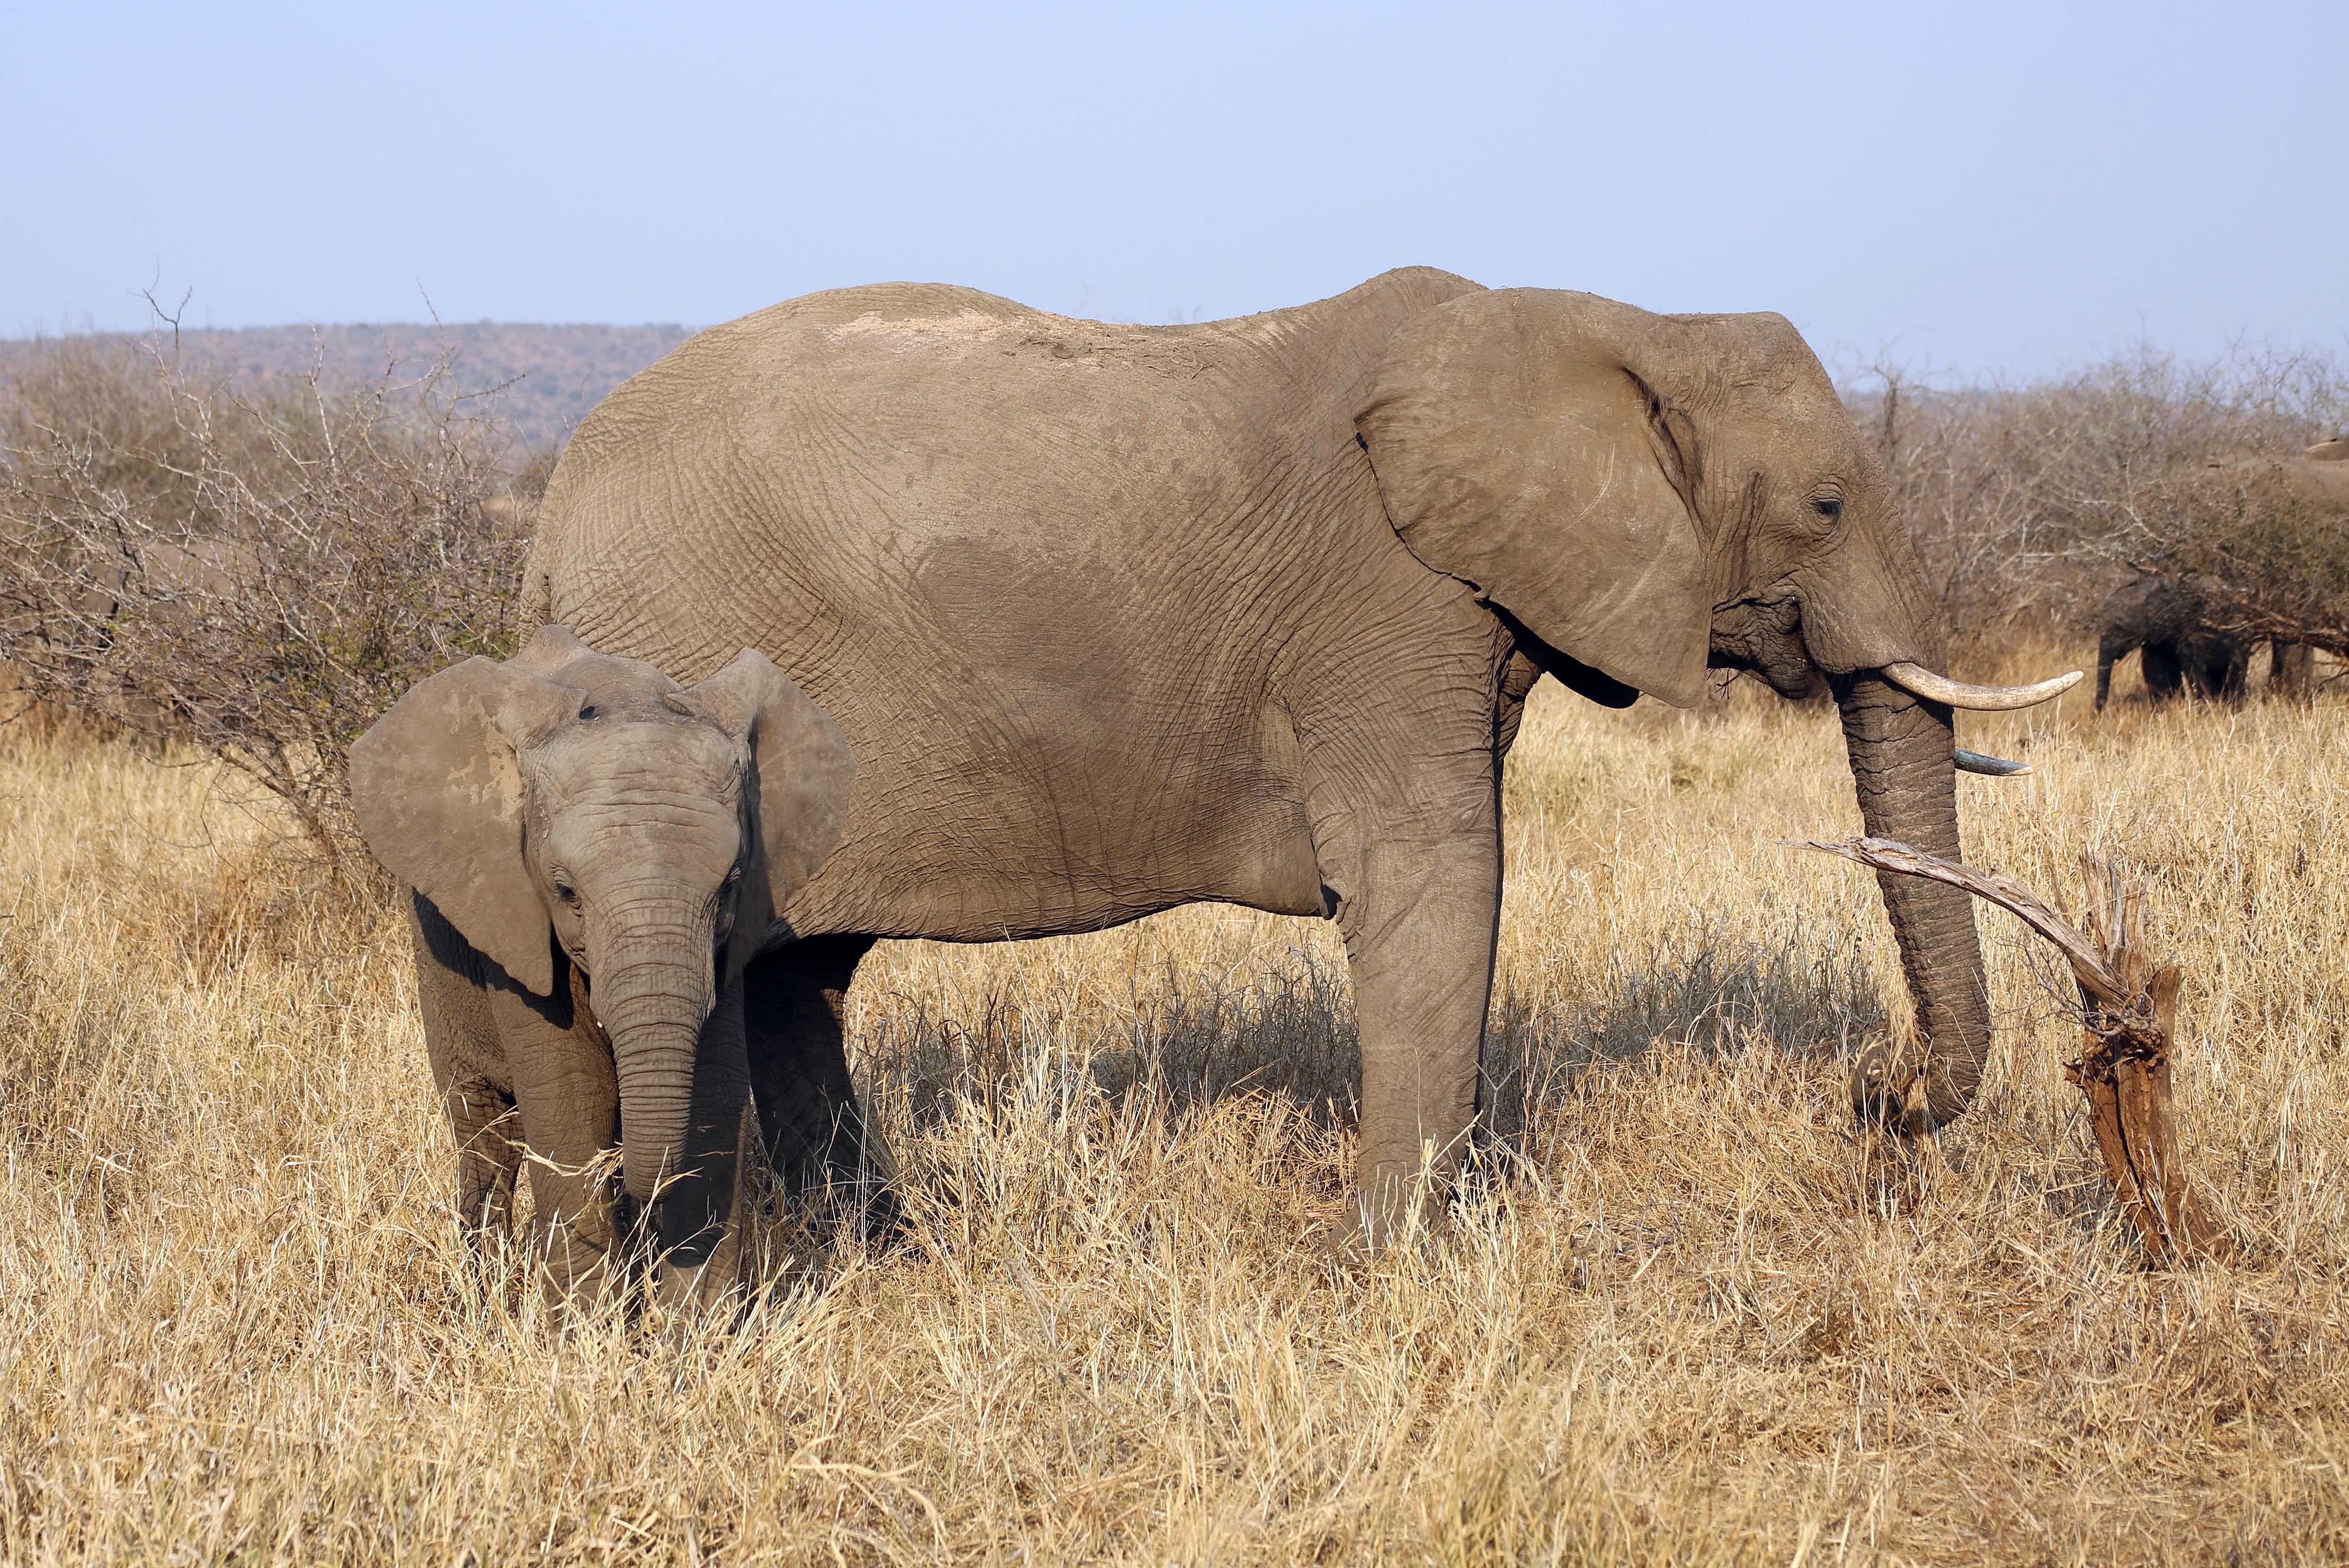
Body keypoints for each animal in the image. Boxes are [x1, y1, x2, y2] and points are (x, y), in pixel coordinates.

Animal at [347, 620, 864, 1297]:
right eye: (565, 891)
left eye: (730, 885)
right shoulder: (520, 930)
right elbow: (570, 1107)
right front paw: (587, 1322)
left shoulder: (727, 945)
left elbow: (713, 1102)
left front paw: (694, 1321)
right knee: (485, 1132)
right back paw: (488, 1291)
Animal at [519, 273, 2076, 1250]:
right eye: (1824, 506)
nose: (1871, 1099)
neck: (1613, 321)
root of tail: (546, 523)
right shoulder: (1385, 605)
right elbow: (1432, 880)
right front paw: (1389, 1261)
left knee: (804, 977)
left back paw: (883, 1240)